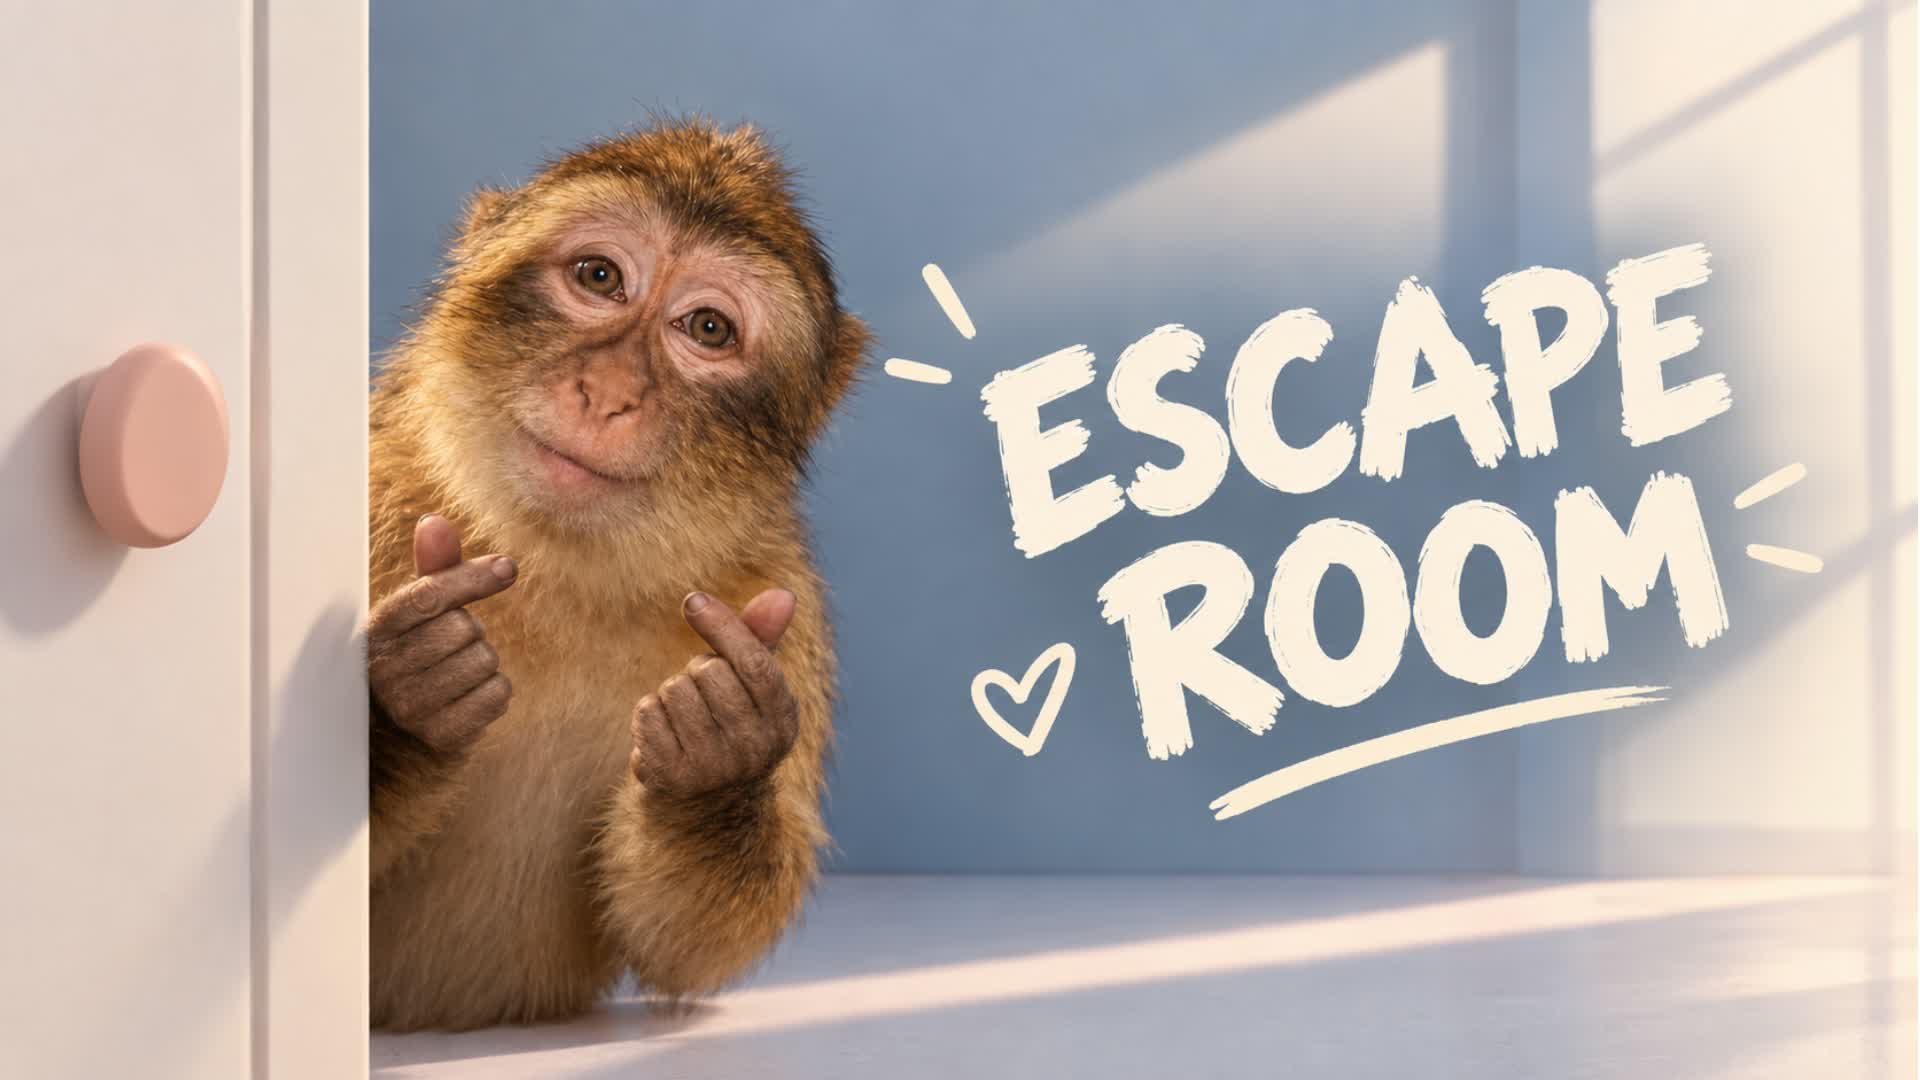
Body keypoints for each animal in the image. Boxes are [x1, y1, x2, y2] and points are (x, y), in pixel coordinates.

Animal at [364, 118, 869, 1032]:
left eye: (707, 329)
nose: (607, 391)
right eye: (599, 277)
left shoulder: (779, 603)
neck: (554, 570)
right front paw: (408, 694)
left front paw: (719, 760)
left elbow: (681, 942)